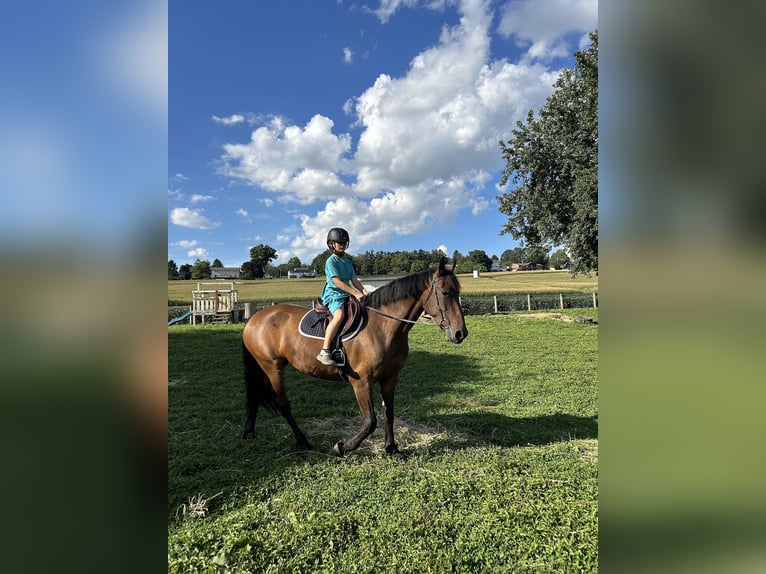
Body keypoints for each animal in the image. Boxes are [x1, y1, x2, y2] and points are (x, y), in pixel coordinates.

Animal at [241, 257, 467, 458]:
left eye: (458, 292)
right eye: (445, 293)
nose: (460, 334)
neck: (382, 326)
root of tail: (255, 318)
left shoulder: (390, 377)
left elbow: (388, 413)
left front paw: (392, 449)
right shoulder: (361, 382)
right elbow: (370, 421)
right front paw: (342, 447)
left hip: (265, 367)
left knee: (255, 396)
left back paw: (249, 432)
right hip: (272, 367)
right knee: (282, 403)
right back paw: (303, 442)